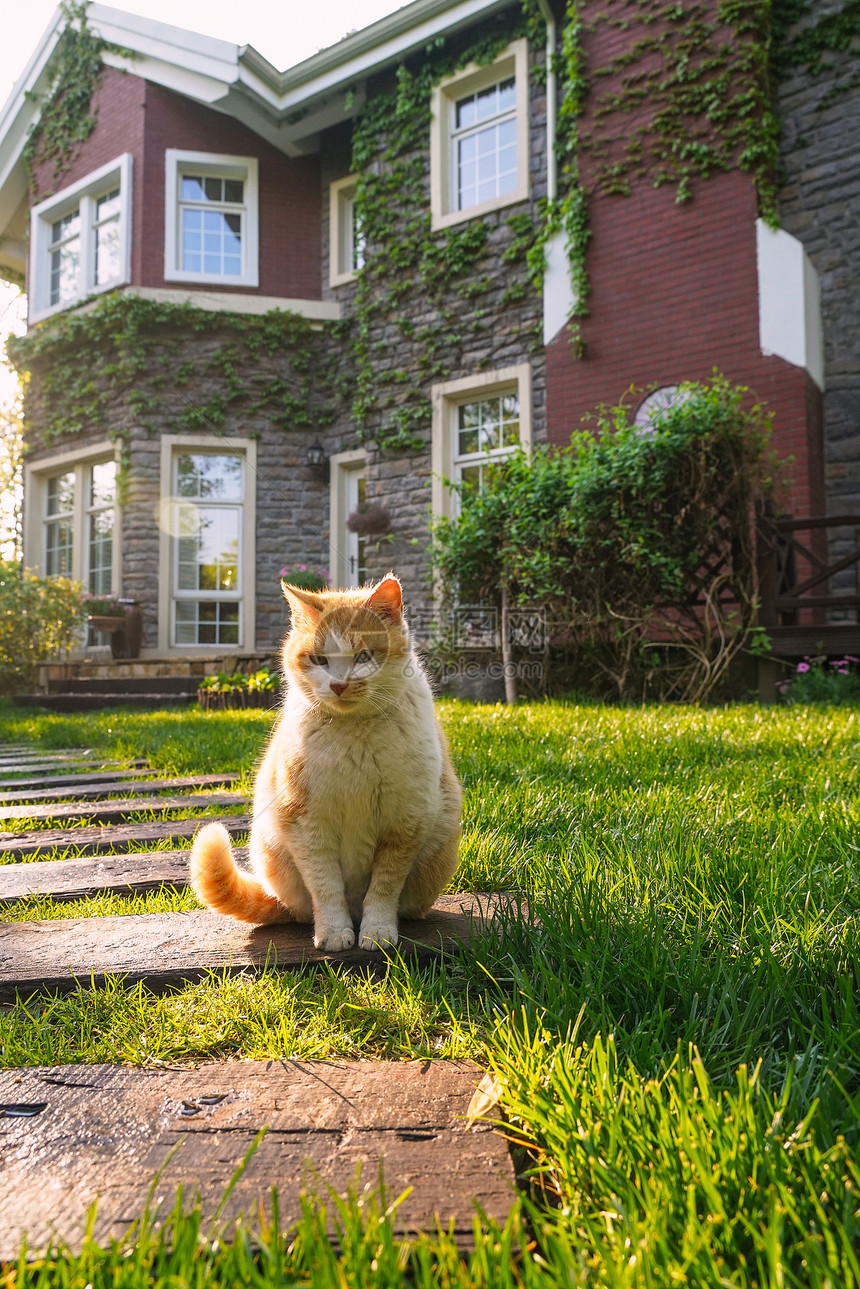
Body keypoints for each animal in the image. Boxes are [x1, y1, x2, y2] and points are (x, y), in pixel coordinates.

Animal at [188, 574, 461, 948]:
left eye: (363, 656)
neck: (353, 732)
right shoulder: (306, 823)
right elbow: (325, 884)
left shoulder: (405, 821)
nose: (339, 685)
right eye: (319, 659)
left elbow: (385, 887)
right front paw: (333, 932)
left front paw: (377, 931)